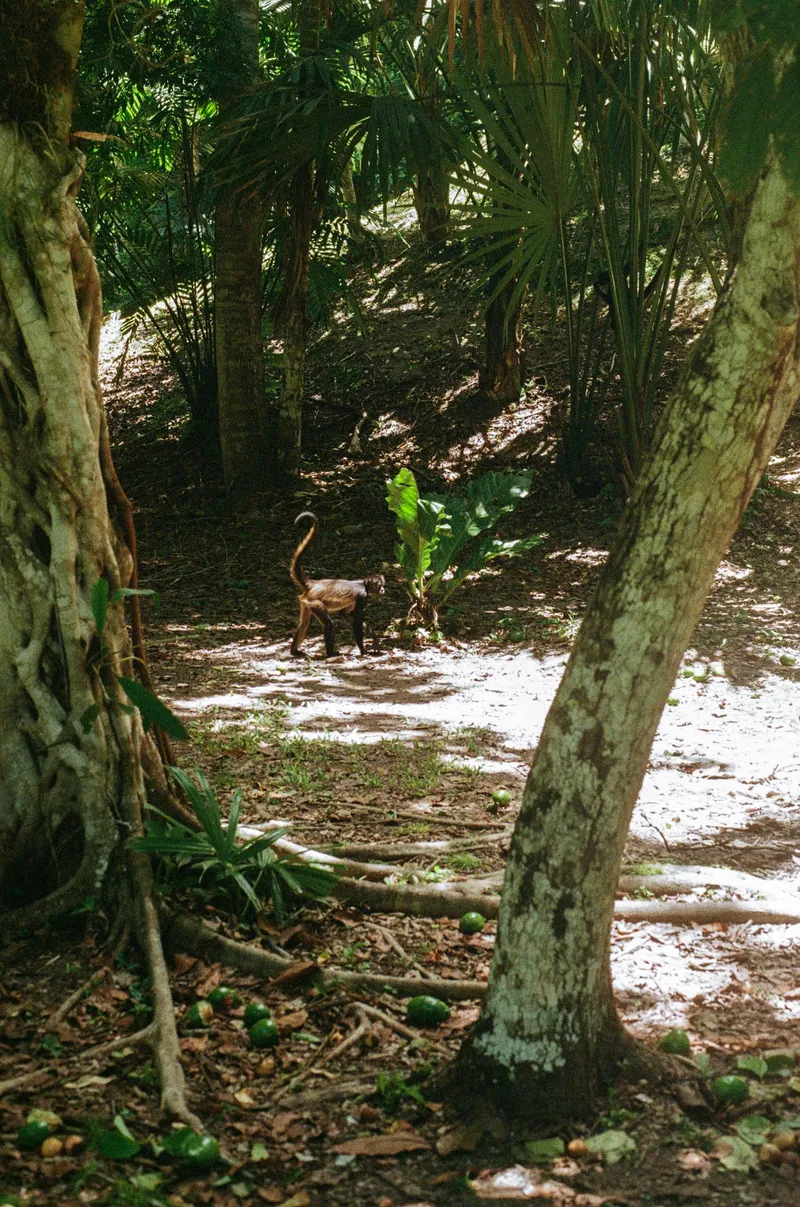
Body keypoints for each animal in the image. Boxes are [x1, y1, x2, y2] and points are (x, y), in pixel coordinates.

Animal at [290, 512, 384, 658]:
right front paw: (363, 651)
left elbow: (344, 614)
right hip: (314, 602)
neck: (362, 584)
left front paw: (374, 638)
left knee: (304, 624)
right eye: (380, 585)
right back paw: (331, 654)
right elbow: (356, 621)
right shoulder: (362, 596)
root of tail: (314, 584)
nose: (383, 590)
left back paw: (295, 651)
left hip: (306, 603)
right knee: (328, 624)